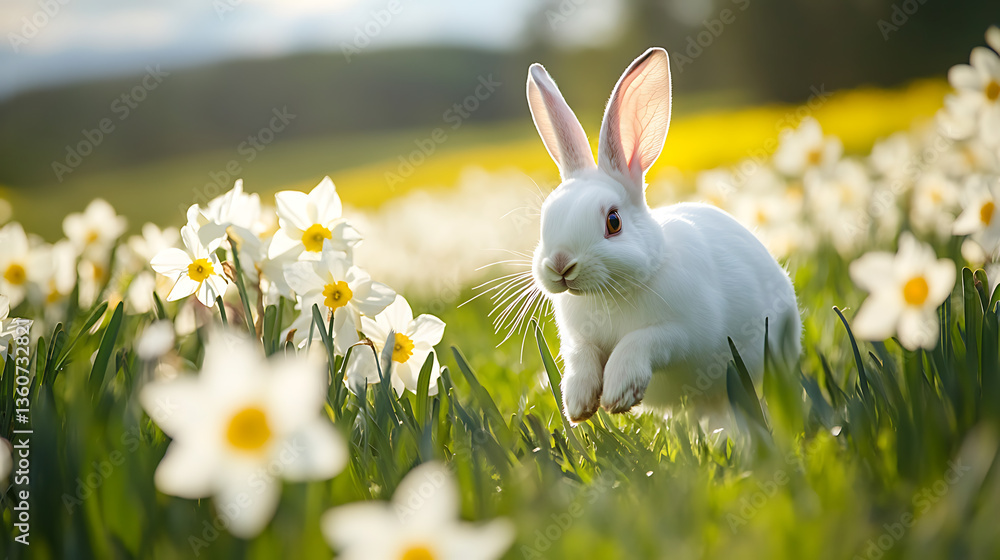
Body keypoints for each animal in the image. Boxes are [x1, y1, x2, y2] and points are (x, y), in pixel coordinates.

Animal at [526, 47, 802, 425]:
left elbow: (641, 341)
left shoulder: (680, 332)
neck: (609, 295)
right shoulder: (578, 340)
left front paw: (617, 393)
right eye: (545, 217)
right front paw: (579, 405)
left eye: (613, 222)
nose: (560, 264)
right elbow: (581, 358)